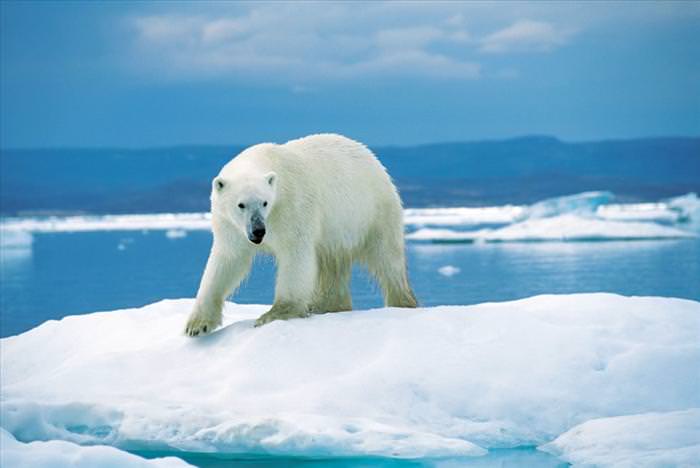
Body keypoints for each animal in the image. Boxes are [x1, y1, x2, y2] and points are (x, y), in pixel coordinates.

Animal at [184, 133, 417, 336]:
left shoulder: (292, 206)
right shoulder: (230, 226)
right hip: (337, 231)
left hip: (371, 211)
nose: (259, 231)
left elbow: (295, 255)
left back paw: (402, 302)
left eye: (265, 202)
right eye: (240, 205)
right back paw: (326, 305)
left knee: (387, 259)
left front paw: (273, 314)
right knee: (331, 264)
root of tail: (374, 159)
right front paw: (197, 325)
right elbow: (227, 261)